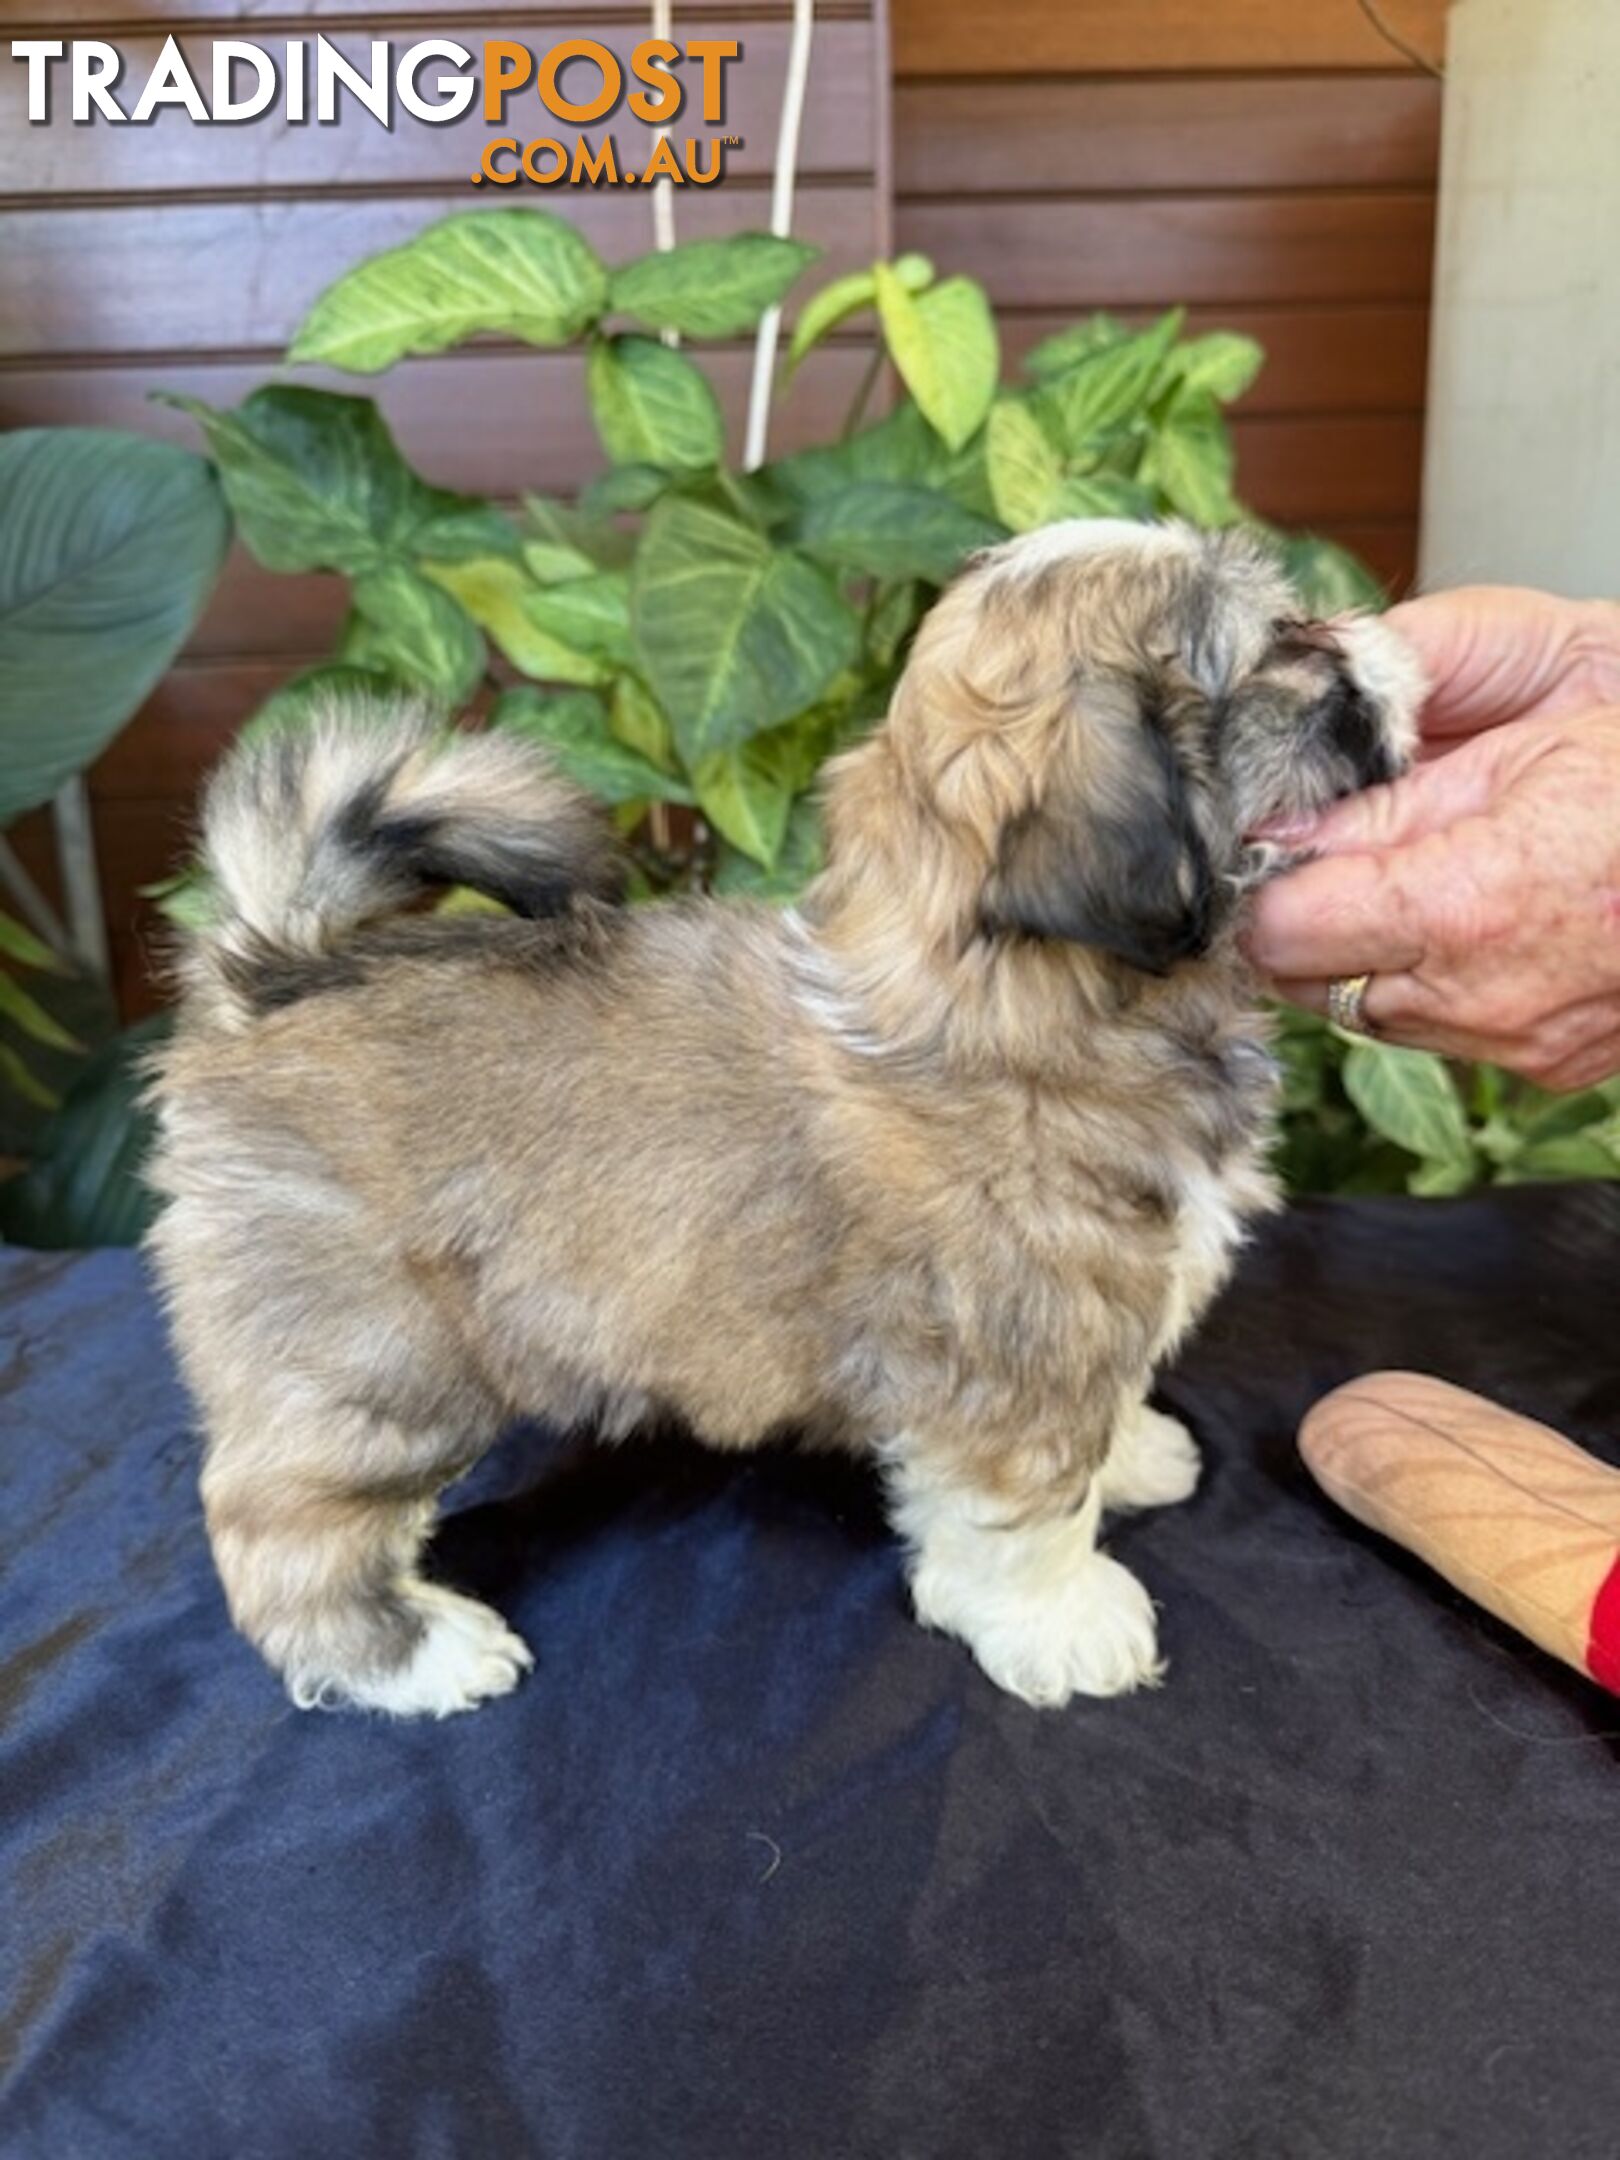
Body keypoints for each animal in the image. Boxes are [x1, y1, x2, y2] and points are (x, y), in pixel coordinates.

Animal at [149, 514, 1416, 1710]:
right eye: (1287, 644)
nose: (1368, 639)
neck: (1016, 1002)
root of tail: (272, 975)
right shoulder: (1021, 1358)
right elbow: (1030, 1503)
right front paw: (1062, 1622)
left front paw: (1131, 1458)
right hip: (375, 1362)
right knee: (287, 1523)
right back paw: (412, 1653)